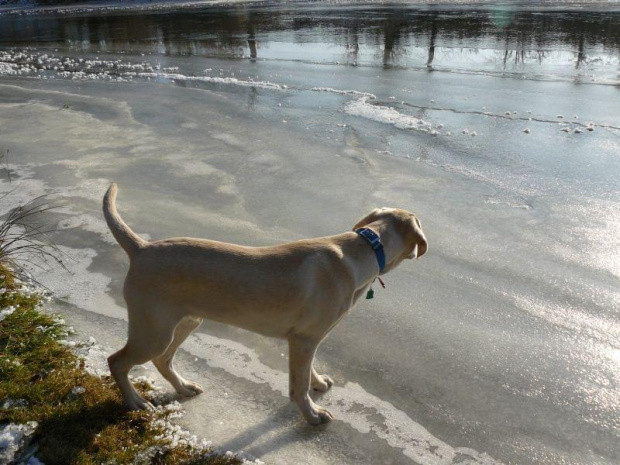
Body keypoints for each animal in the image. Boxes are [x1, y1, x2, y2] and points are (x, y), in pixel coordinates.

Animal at [103, 183, 426, 422]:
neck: (366, 247)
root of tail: (142, 248)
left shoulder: (309, 341)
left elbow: (307, 371)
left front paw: (318, 383)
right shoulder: (304, 339)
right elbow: (297, 386)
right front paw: (312, 414)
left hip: (185, 321)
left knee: (162, 360)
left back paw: (182, 387)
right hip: (154, 332)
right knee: (117, 361)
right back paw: (134, 401)